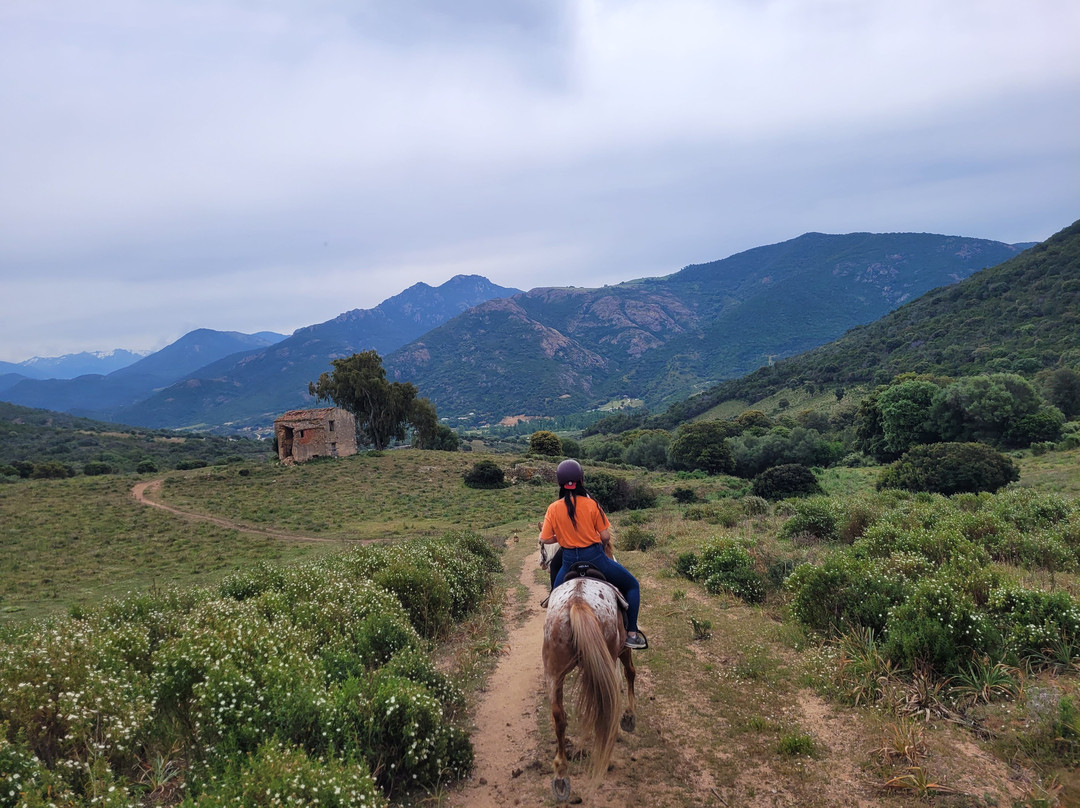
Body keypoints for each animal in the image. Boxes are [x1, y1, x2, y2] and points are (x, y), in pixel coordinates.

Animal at [537, 542, 630, 803]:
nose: (542, 562)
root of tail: (578, 601)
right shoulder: (619, 653)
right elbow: (625, 678)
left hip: (553, 671)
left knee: (559, 717)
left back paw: (561, 774)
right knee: (604, 708)